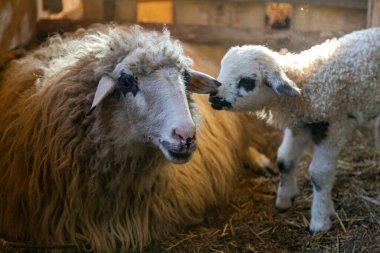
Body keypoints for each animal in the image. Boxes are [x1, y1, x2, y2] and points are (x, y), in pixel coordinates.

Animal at [208, 28, 380, 233]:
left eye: (247, 81)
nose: (213, 97)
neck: (306, 83)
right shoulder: (299, 126)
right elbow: (284, 160)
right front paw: (284, 200)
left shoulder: (334, 125)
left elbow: (319, 174)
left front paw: (320, 221)